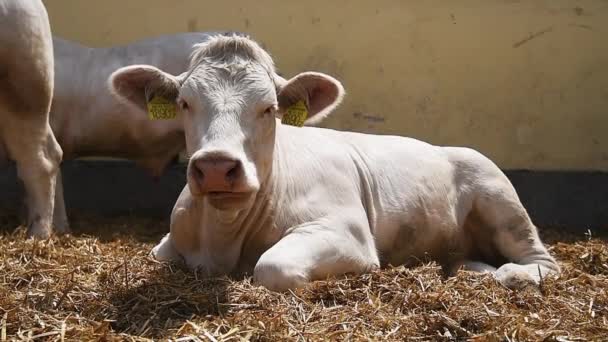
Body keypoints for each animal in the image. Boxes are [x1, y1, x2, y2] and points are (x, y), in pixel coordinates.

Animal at [109, 33, 560, 292]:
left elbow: (272, 267)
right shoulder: (168, 243)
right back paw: (470, 269)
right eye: (185, 103)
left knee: (544, 260)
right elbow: (159, 254)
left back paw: (512, 275)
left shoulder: (348, 233)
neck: (221, 241)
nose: (218, 166)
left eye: (269, 109)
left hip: (501, 200)